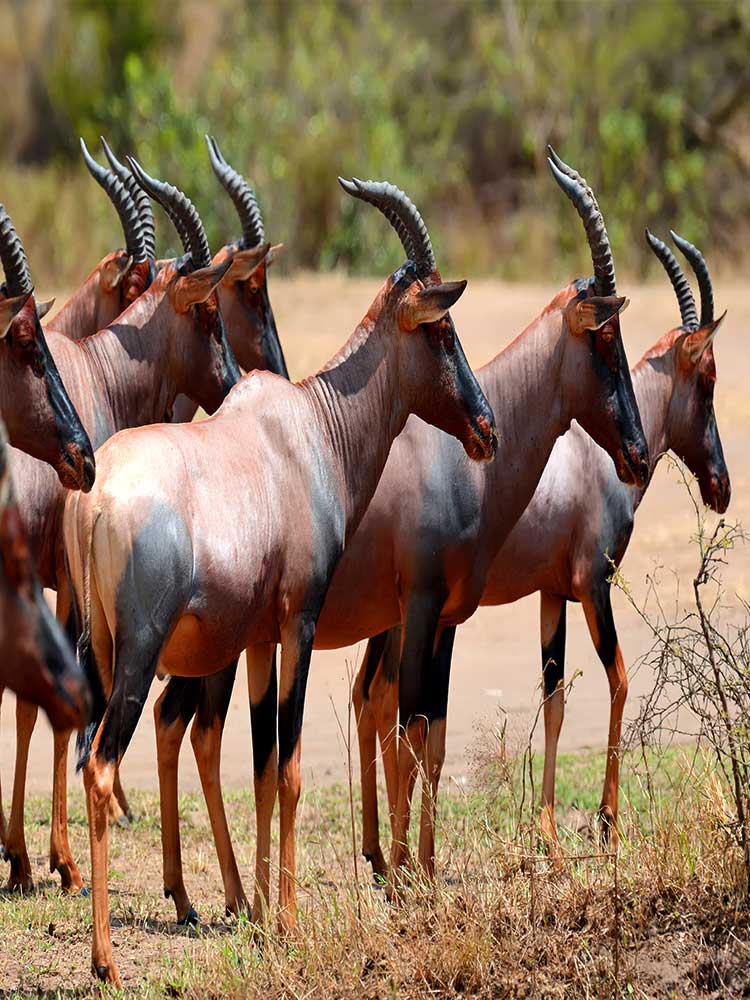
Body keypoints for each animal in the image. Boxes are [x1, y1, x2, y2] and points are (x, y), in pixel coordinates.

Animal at [63, 179, 498, 985]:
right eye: (443, 331)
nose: (488, 430)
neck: (307, 431)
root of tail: (95, 496)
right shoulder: (300, 622)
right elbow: (290, 765)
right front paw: (289, 920)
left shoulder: (260, 639)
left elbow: (263, 767)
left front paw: (262, 912)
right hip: (138, 655)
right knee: (102, 766)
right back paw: (106, 962)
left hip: (102, 649)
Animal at [134, 152, 647, 928]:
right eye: (606, 340)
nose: (640, 455)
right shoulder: (421, 610)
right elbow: (407, 732)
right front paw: (405, 875)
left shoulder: (440, 620)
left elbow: (429, 736)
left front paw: (418, 868)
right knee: (189, 726)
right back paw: (209, 897)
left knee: (187, 727)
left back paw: (210, 894)